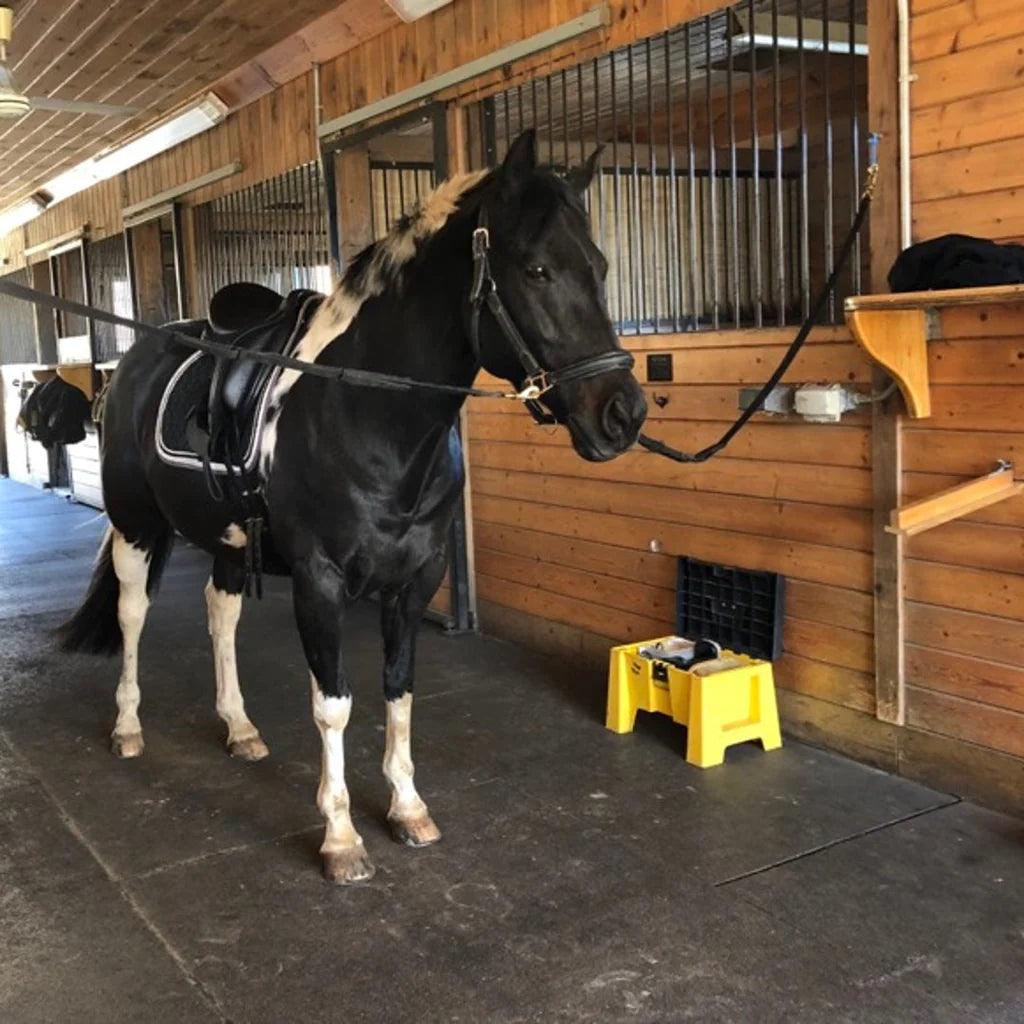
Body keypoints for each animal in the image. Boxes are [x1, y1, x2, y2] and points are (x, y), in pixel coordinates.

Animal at [58, 130, 647, 880]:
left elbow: (398, 689)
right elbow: (333, 704)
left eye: (599, 265)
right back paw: (128, 728)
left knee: (221, 614)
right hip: (135, 525)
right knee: (133, 614)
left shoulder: (416, 580)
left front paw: (408, 808)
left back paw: (240, 728)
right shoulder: (320, 581)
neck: (368, 412)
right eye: (537, 269)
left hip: (227, 538)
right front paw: (341, 838)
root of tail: (138, 358)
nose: (623, 415)